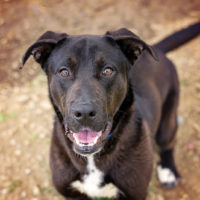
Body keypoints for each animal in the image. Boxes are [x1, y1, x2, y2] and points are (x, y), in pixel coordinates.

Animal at [19, 22, 199, 200]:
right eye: (64, 72)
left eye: (107, 70)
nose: (84, 113)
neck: (91, 159)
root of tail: (157, 48)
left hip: (168, 118)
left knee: (168, 143)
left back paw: (168, 171)